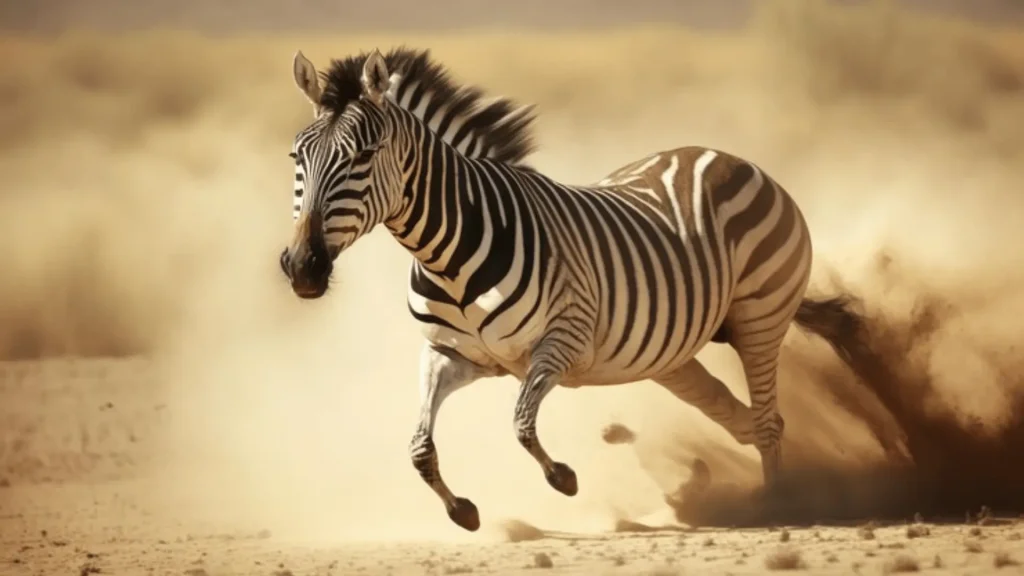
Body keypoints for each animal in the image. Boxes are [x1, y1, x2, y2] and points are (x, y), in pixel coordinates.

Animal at [279, 47, 864, 532]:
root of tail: (725, 158)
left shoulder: (561, 341)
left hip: (758, 319)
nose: (303, 267)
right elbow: (419, 445)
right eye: (296, 158)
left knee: (766, 421)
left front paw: (563, 476)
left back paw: (777, 505)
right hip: (673, 354)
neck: (447, 255)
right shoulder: (449, 355)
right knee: (740, 418)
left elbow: (520, 422)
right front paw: (463, 510)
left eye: (364, 154)